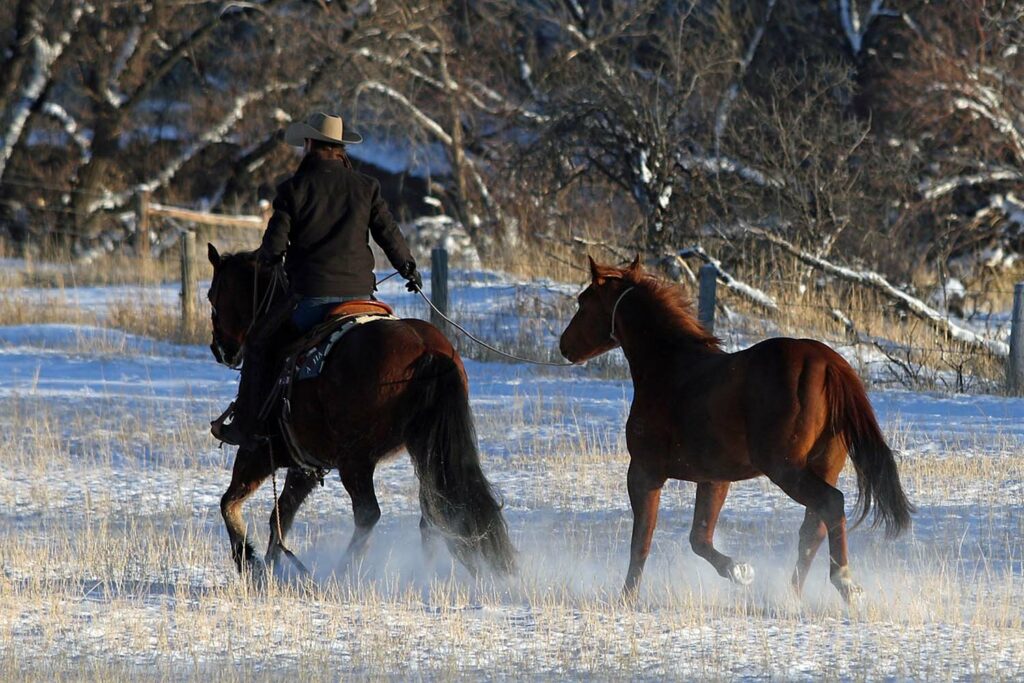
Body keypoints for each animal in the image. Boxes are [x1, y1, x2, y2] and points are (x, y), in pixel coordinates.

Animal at [204, 245, 516, 581]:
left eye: (212, 295)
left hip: (356, 460)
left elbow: (230, 502)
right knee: (434, 511)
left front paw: (248, 560)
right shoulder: (304, 465)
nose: (219, 349)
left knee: (369, 513)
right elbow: (281, 515)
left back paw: (343, 571)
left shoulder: (260, 451)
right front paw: (271, 566)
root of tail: (427, 350)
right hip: (423, 449)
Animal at [561, 258, 913, 602]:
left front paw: (626, 598)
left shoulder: (644, 473)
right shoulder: (714, 478)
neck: (670, 369)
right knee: (813, 528)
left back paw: (845, 584)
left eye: (583, 301)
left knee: (830, 506)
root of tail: (828, 363)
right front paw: (740, 571)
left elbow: (642, 542)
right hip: (822, 465)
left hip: (786, 468)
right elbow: (699, 537)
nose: (564, 346)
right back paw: (792, 597)